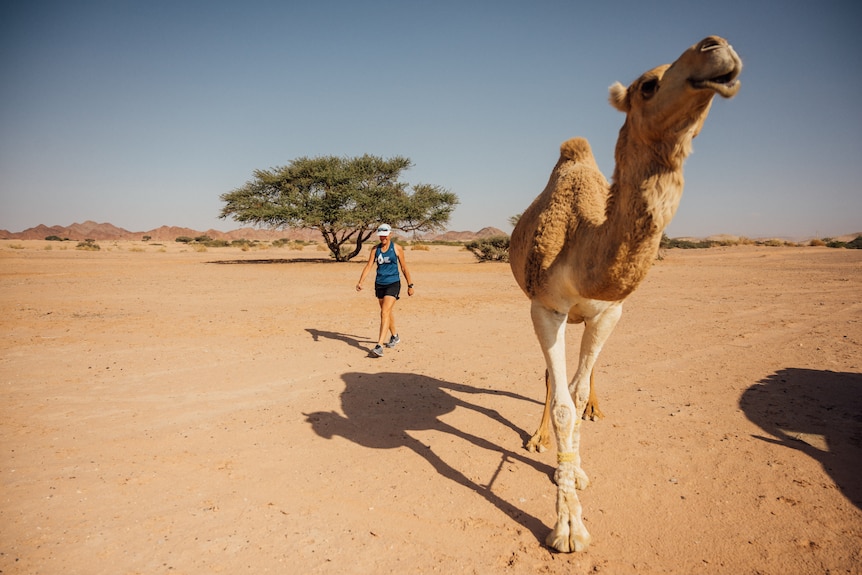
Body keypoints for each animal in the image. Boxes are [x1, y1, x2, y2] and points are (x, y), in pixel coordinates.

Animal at [512, 37, 744, 552]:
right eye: (648, 85)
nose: (716, 48)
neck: (583, 245)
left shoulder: (609, 313)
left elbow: (577, 395)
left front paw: (576, 473)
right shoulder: (546, 308)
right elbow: (561, 405)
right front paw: (568, 527)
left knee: (583, 378)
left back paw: (590, 422)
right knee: (550, 379)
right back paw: (540, 440)